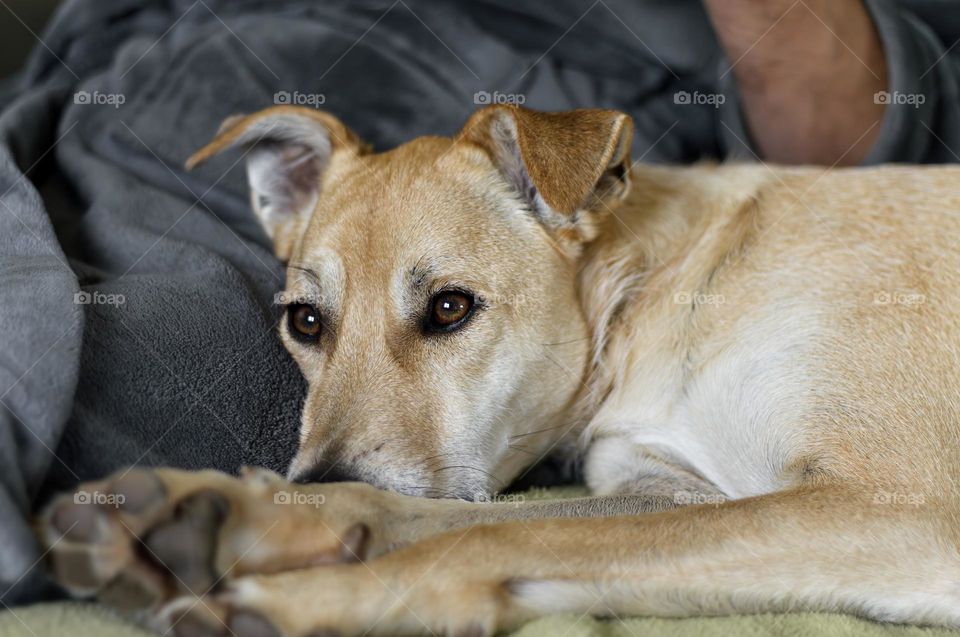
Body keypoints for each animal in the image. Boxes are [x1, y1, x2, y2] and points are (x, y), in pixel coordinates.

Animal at [41, 105, 960, 636]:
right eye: (305, 321)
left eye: (450, 308)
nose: (315, 474)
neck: (655, 289)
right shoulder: (676, 493)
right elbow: (462, 519)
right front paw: (238, 512)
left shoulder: (892, 507)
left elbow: (494, 532)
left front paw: (304, 602)